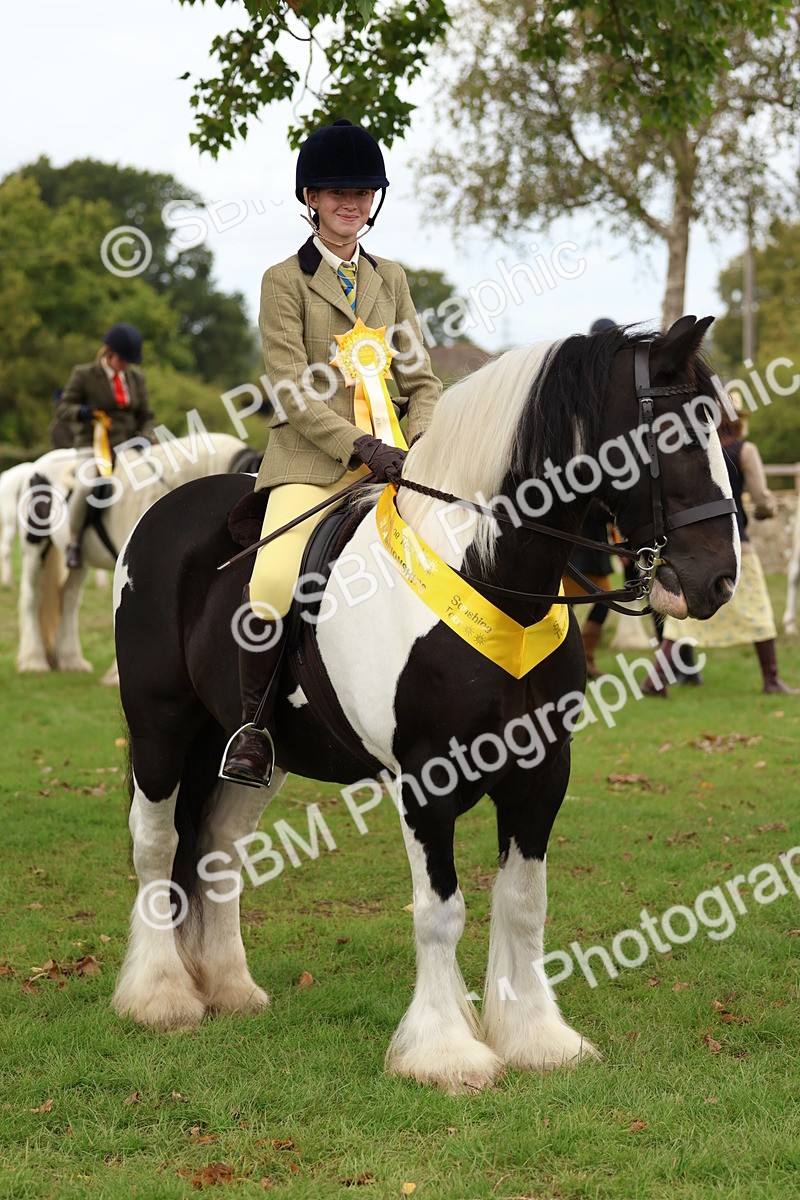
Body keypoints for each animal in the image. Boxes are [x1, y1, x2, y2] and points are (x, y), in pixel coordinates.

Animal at [16, 432, 248, 675]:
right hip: (34, 549)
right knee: (32, 597)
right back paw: (33, 661)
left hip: (78, 562)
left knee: (69, 599)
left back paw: (71, 660)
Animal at [112, 317, 740, 1092]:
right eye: (674, 432)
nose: (717, 581)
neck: (492, 579)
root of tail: (165, 511)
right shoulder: (426, 781)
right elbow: (440, 912)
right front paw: (444, 1053)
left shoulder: (543, 774)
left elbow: (523, 903)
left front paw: (536, 1038)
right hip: (160, 723)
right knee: (157, 842)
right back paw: (160, 996)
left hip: (253, 749)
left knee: (217, 847)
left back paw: (230, 989)